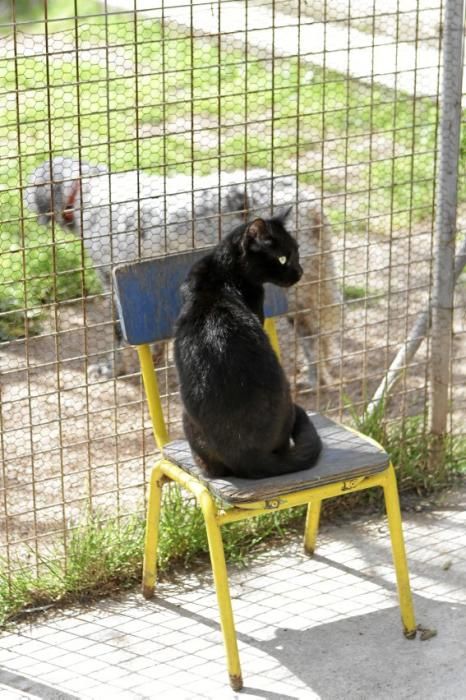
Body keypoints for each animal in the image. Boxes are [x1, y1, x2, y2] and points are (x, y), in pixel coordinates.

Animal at [25, 158, 340, 382]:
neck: (87, 191)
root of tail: (311, 204)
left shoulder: (113, 285)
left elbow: (117, 336)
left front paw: (111, 369)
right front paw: (155, 359)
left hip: (298, 289)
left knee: (315, 336)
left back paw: (316, 378)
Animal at [173, 211, 322, 478]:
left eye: (297, 251)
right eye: (283, 257)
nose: (300, 271)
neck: (221, 273)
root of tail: (250, 457)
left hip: (186, 416)